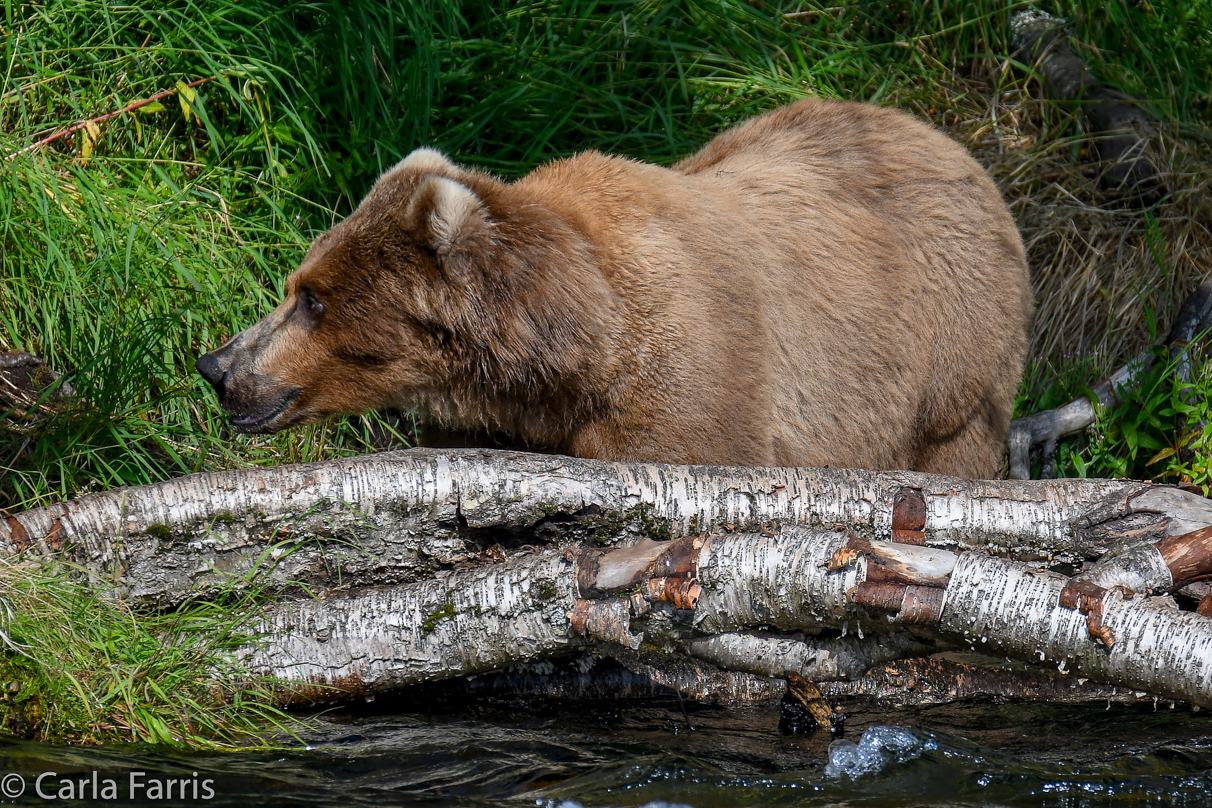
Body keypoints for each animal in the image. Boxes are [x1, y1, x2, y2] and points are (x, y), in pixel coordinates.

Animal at [198, 101, 1032, 479]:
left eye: (313, 299)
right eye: (296, 283)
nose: (217, 366)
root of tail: (951, 145)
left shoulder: (696, 379)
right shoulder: (503, 425)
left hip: (949, 366)